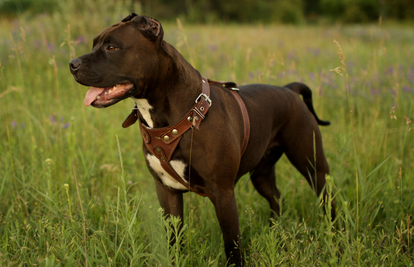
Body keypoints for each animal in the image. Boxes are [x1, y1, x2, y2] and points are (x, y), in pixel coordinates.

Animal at [70, 13, 336, 266]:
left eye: (112, 47)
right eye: (94, 44)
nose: (72, 64)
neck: (181, 117)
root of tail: (289, 89)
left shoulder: (223, 193)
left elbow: (232, 245)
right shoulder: (167, 190)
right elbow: (174, 239)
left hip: (313, 166)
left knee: (326, 200)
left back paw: (333, 237)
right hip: (262, 173)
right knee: (276, 198)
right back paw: (275, 232)